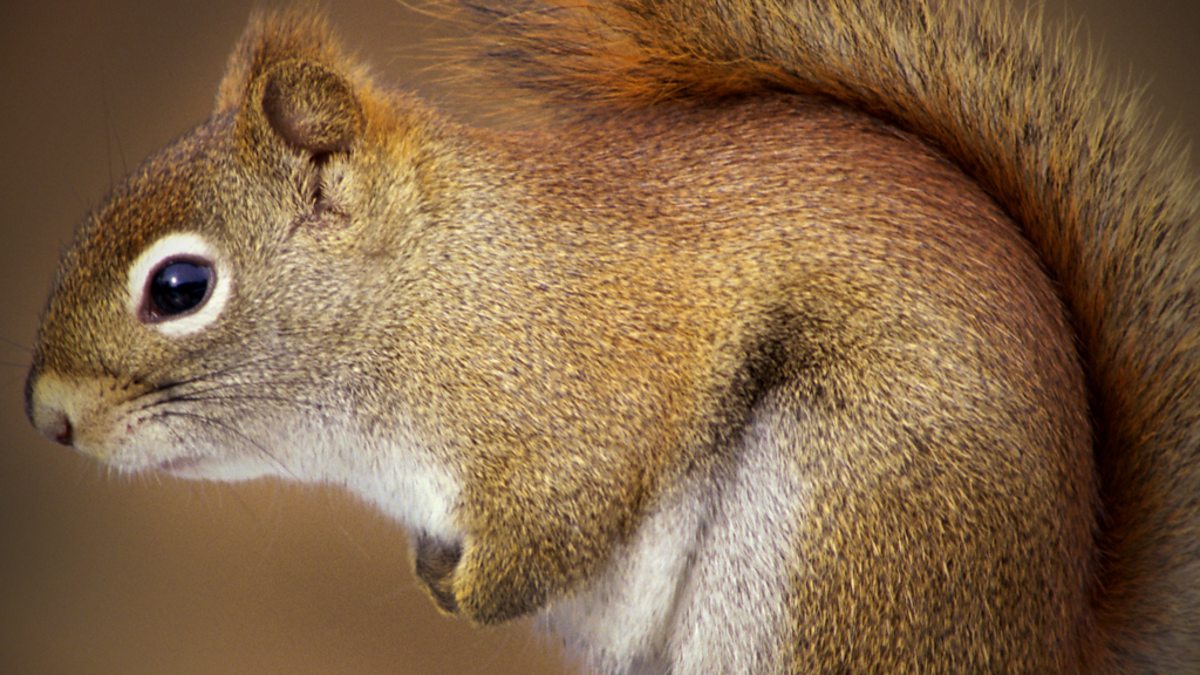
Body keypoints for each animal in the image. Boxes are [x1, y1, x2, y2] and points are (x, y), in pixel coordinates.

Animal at [23, 0, 1199, 671]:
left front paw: (472, 592)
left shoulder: (584, 391)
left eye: (180, 286)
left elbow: (571, 510)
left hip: (838, 547)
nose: (45, 416)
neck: (439, 289)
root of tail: (1051, 631)